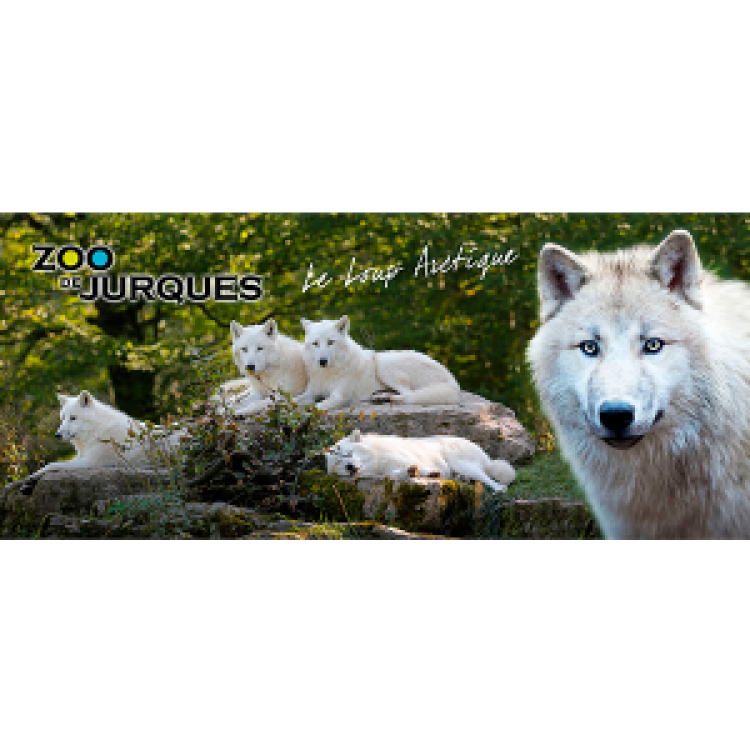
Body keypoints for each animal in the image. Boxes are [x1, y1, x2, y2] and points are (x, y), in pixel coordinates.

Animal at [20, 391, 183, 495]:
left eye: (73, 418)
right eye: (63, 418)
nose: (57, 435)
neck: (98, 429)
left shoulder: (90, 462)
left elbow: (52, 465)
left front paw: (32, 479)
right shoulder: (81, 457)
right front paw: (29, 483)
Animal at [294, 315, 460, 411]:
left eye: (330, 342)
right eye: (315, 343)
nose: (322, 361)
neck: (329, 372)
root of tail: (452, 380)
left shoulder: (339, 396)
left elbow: (317, 407)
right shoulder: (311, 393)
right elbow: (294, 400)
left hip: (384, 363)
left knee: (410, 395)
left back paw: (387, 398)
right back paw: (382, 396)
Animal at [326, 429, 515, 492]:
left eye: (348, 453)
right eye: (338, 463)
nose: (350, 467)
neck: (377, 461)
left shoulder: (405, 458)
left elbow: (422, 468)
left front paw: (429, 473)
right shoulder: (388, 471)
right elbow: (397, 473)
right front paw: (412, 472)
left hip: (461, 464)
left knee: (487, 478)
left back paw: (499, 488)